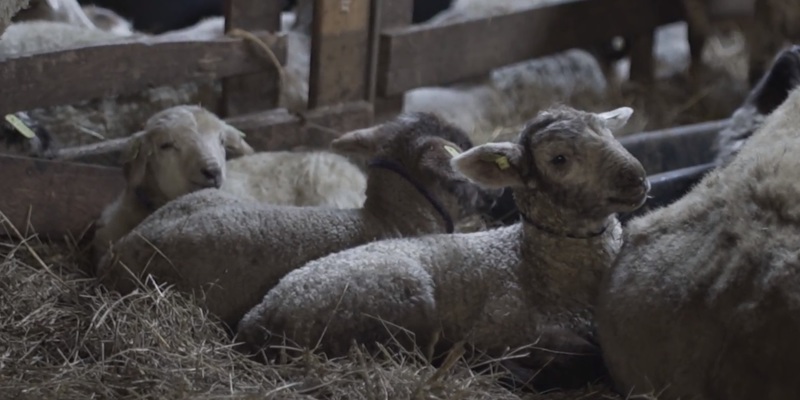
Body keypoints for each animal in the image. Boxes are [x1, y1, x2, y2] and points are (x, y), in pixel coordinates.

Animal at [236, 104, 648, 392]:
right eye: (559, 158)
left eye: (611, 136)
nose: (637, 177)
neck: (531, 264)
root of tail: (258, 314)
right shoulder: (503, 326)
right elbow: (585, 355)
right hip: (405, 303)